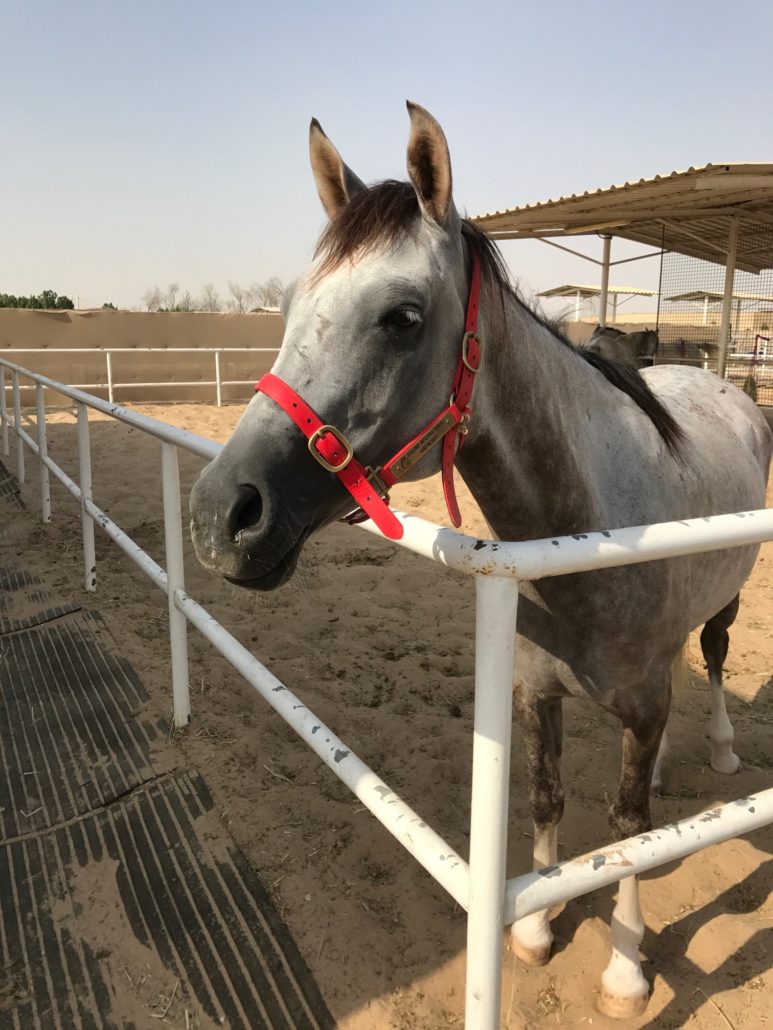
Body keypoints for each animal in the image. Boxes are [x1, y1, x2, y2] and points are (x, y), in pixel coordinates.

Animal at [189, 103, 772, 1019]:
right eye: (290, 306)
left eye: (401, 316)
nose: (222, 514)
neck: (590, 529)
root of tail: (724, 386)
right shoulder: (534, 692)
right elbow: (548, 796)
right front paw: (533, 928)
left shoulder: (640, 702)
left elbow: (627, 826)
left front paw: (624, 968)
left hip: (726, 600)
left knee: (710, 659)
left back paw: (714, 748)